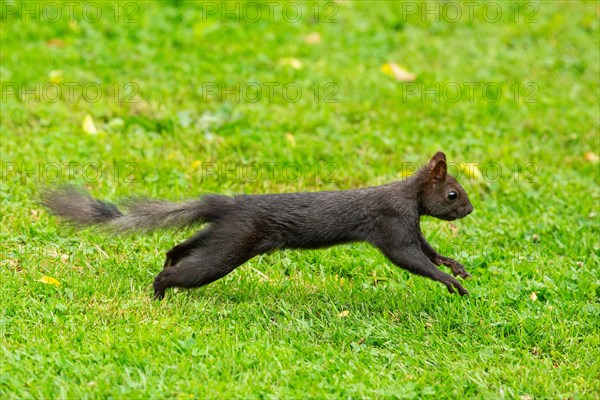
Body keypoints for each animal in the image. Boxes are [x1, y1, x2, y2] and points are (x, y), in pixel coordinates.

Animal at [41, 152, 474, 298]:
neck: (409, 198)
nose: (469, 210)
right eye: (453, 193)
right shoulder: (392, 224)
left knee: (178, 248)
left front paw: (455, 267)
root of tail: (228, 204)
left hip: (221, 235)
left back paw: (166, 267)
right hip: (231, 245)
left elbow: (429, 251)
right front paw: (450, 282)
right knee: (186, 270)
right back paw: (159, 292)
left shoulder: (411, 226)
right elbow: (410, 258)